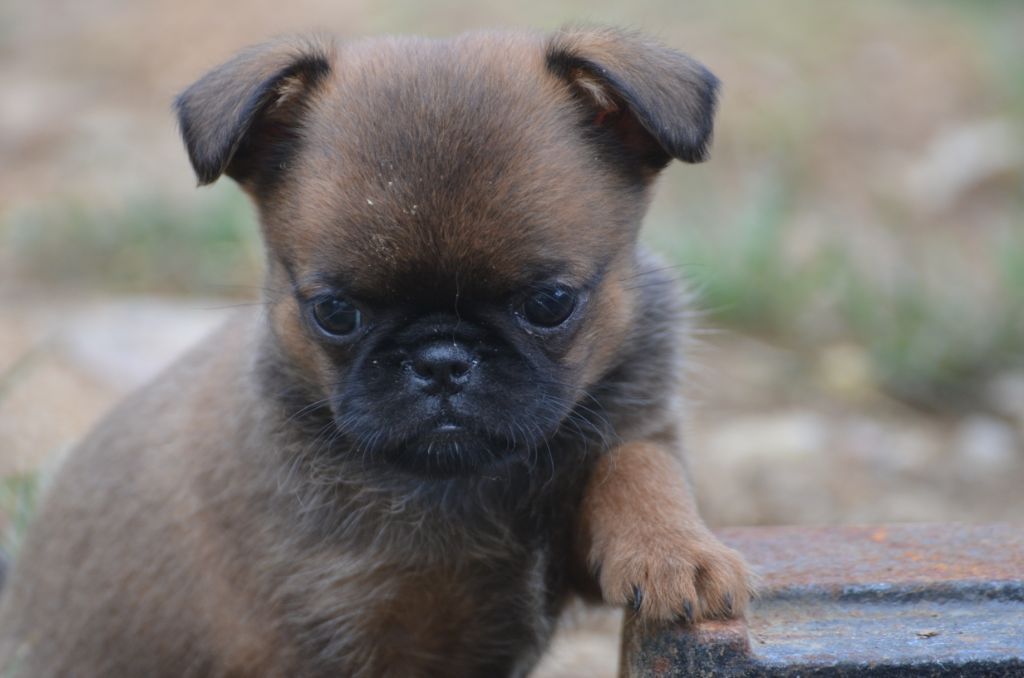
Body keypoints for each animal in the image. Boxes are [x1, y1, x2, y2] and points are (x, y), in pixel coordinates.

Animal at [0, 27, 753, 678]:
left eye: (550, 304)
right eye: (336, 314)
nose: (442, 360)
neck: (464, 481)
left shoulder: (616, 465)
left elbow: (637, 462)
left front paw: (675, 550)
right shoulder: (359, 634)